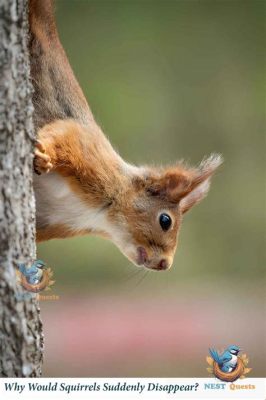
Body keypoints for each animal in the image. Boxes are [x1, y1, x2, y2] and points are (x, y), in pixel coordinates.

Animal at [29, 0, 221, 272]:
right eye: (165, 220)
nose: (165, 264)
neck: (99, 215)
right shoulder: (88, 152)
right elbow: (64, 135)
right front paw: (43, 156)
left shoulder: (49, 221)